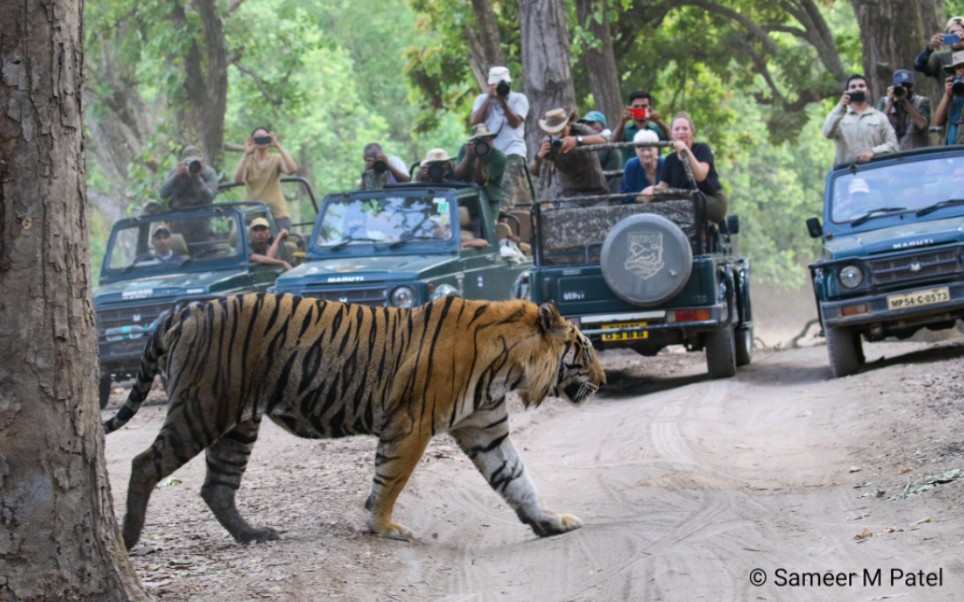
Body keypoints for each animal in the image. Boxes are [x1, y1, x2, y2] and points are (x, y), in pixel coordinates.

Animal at [103, 292, 604, 548]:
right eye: (585, 350)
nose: (601, 381)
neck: (510, 366)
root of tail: (184, 308)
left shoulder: (485, 428)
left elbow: (517, 479)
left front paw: (549, 521)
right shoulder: (412, 424)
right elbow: (390, 479)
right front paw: (382, 527)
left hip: (236, 425)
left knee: (217, 487)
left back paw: (254, 535)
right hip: (203, 407)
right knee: (144, 464)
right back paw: (126, 538)